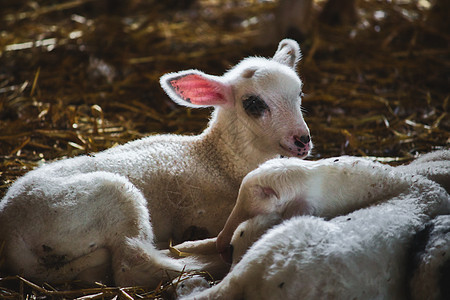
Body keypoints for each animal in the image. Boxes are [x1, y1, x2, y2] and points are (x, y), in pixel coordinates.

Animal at [0, 39, 312, 286]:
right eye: (254, 104)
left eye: (299, 94)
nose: (303, 140)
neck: (219, 160)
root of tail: (11, 233)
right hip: (110, 199)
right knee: (132, 266)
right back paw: (202, 262)